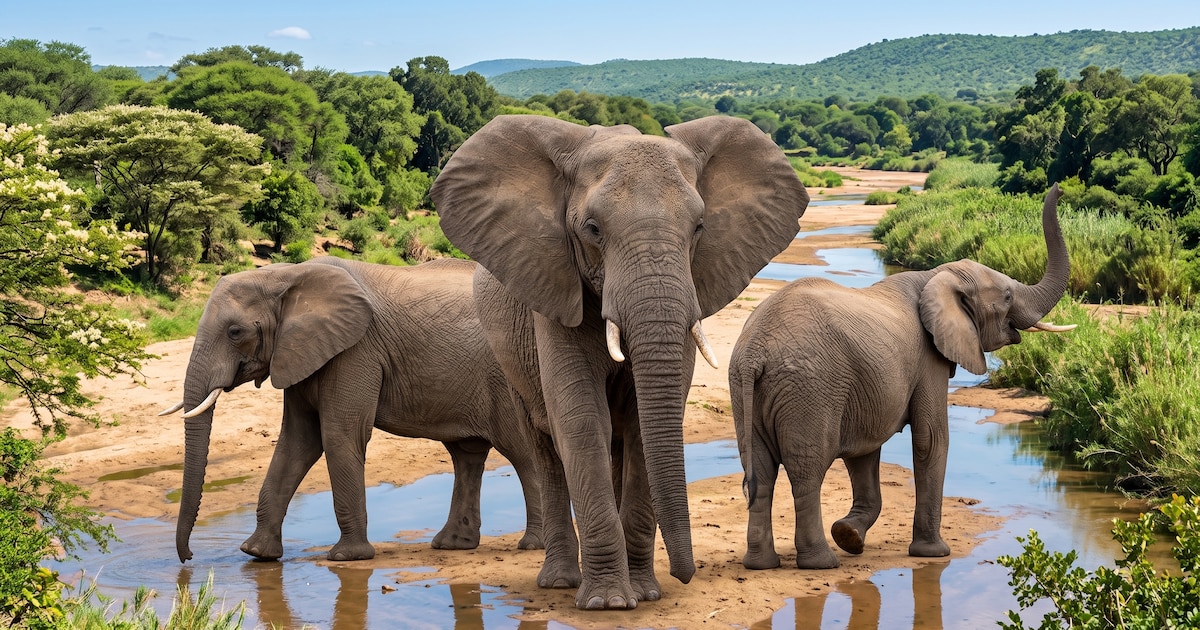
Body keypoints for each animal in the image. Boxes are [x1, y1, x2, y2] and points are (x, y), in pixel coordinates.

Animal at [161, 256, 542, 563]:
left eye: (235, 331)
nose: (189, 558)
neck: (285, 275)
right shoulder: (303, 353)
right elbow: (297, 442)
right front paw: (256, 553)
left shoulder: (356, 350)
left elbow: (339, 435)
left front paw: (347, 557)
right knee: (466, 455)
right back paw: (452, 545)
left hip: (511, 379)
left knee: (523, 454)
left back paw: (532, 545)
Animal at [430, 114, 810, 609]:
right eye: (592, 228)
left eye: (699, 227)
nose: (686, 575)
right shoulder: (555, 288)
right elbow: (580, 420)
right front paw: (608, 603)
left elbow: (639, 427)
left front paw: (644, 594)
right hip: (509, 358)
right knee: (545, 447)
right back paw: (560, 582)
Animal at [729, 184, 1072, 570]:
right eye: (1009, 296)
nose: (1061, 188)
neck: (938, 274)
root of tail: (755, 351)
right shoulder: (928, 359)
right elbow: (931, 439)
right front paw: (933, 553)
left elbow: (863, 451)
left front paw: (849, 535)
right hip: (809, 389)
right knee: (807, 470)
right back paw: (820, 563)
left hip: (747, 390)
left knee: (760, 471)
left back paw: (761, 564)